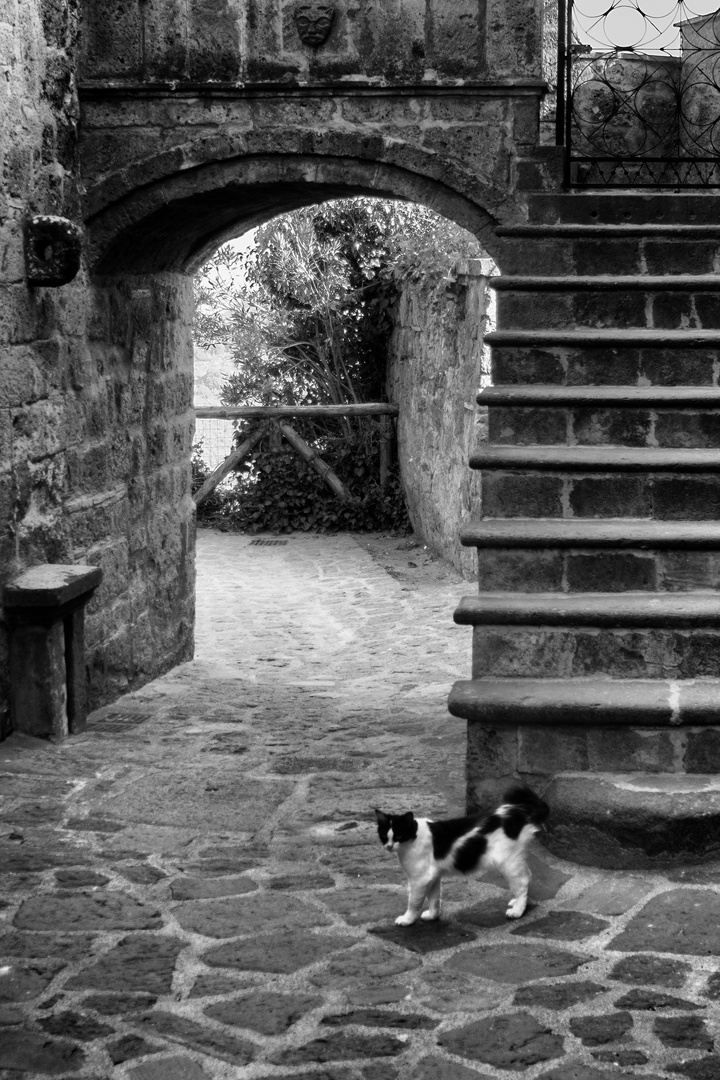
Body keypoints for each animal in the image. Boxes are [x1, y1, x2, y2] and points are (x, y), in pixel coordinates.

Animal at [375, 786, 548, 928]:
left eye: (398, 836)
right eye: (383, 836)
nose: (389, 846)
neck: (414, 836)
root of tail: (514, 809)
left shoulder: (420, 879)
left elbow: (414, 902)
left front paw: (407, 920)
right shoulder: (433, 877)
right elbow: (434, 898)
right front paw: (432, 916)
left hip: (507, 863)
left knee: (522, 882)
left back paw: (518, 910)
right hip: (515, 860)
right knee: (526, 876)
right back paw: (517, 902)